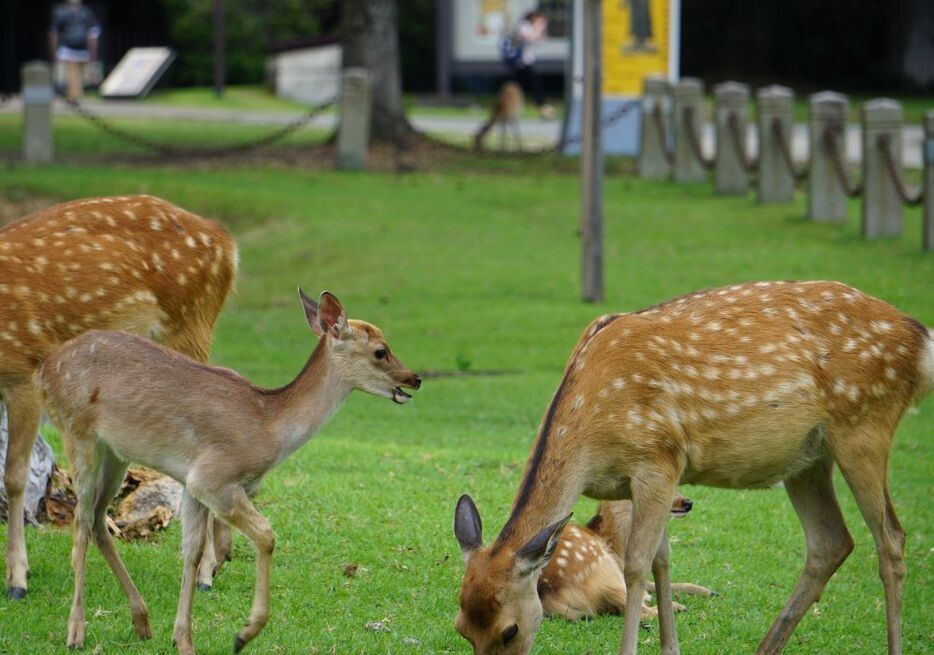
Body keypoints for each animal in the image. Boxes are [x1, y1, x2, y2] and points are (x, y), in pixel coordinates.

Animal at [0, 195, 238, 600]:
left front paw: (17, 578)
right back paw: (220, 557)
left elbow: (13, 476)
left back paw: (205, 571)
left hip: (189, 326)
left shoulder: (23, 370)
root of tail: (227, 242)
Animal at [38, 292, 422, 655]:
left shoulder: (192, 483)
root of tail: (43, 370)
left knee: (98, 519)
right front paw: (243, 634)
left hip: (115, 453)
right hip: (78, 434)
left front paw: (183, 641)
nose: (414, 379)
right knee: (80, 521)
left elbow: (192, 552)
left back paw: (142, 622)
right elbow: (266, 535)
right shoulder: (214, 478)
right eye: (380, 350)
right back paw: (76, 633)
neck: (268, 428)